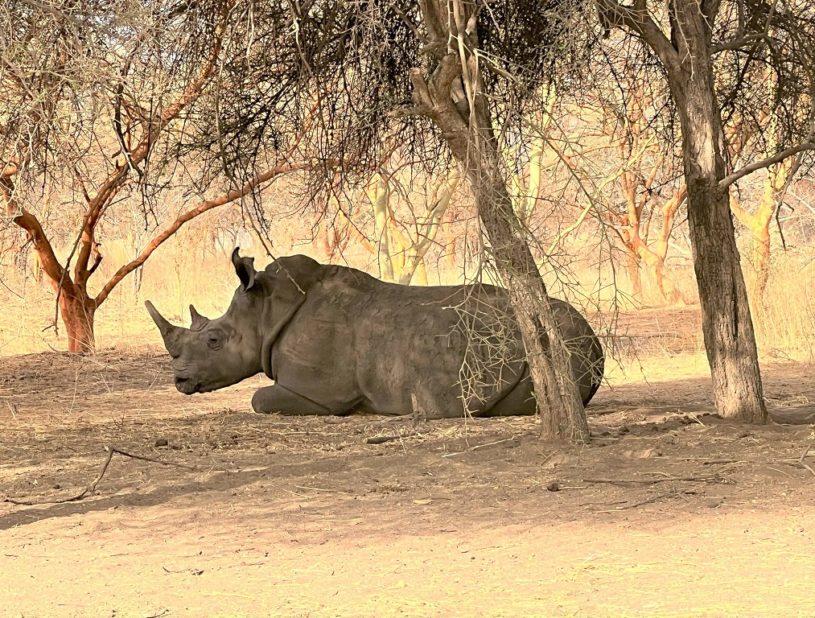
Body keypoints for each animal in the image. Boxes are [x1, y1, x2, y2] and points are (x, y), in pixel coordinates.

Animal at [146, 249, 604, 418]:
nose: (180, 380)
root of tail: (594, 336)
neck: (264, 310)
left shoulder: (320, 392)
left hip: (561, 340)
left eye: (214, 341)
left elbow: (259, 399)